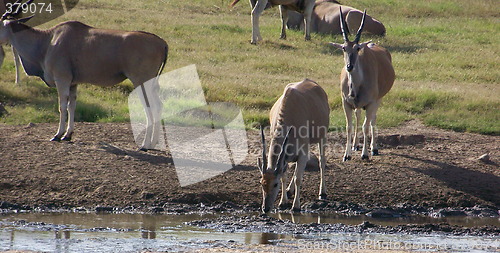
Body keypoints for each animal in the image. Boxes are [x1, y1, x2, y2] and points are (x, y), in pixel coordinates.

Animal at [0, 0, 169, 150]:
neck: (48, 41)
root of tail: (162, 43)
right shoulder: (73, 83)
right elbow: (72, 106)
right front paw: (68, 135)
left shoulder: (62, 80)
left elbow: (62, 106)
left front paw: (57, 135)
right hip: (151, 84)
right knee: (159, 106)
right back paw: (153, 143)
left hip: (141, 82)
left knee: (150, 107)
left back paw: (145, 145)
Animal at [258, 78, 328, 211]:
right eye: (262, 183)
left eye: (275, 184)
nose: (265, 208)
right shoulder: (285, 157)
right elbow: (284, 176)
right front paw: (283, 202)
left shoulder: (303, 153)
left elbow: (298, 179)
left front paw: (296, 206)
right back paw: (289, 191)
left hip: (322, 137)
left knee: (322, 162)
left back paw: (322, 193)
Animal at [328, 8, 394, 162]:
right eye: (344, 48)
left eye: (357, 48)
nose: (349, 66)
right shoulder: (346, 103)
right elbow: (349, 126)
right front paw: (347, 154)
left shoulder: (371, 103)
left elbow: (366, 126)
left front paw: (365, 154)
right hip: (358, 105)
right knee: (358, 115)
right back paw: (355, 145)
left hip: (378, 99)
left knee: (372, 120)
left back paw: (374, 148)